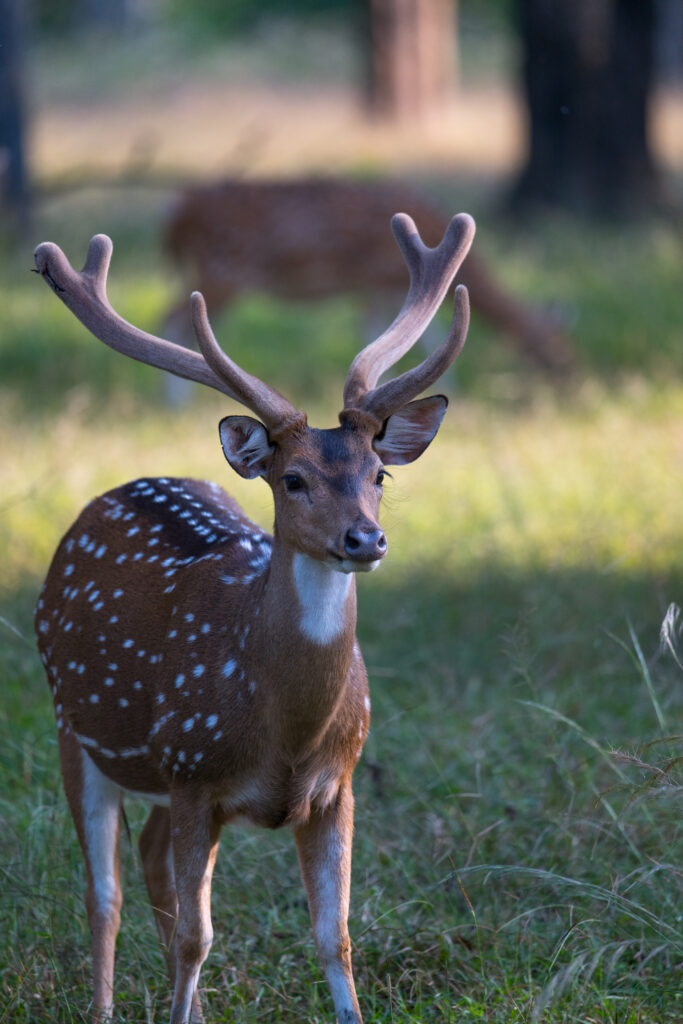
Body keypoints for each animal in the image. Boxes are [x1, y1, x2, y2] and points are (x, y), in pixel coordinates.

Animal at [33, 209, 475, 1024]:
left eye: (379, 474)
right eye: (292, 478)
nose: (365, 539)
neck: (285, 731)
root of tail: (124, 485)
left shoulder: (338, 784)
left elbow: (335, 936)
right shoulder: (193, 772)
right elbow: (195, 938)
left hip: (153, 773)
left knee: (148, 862)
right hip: (75, 728)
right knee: (103, 894)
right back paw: (104, 1008)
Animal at [162, 178, 573, 382]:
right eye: (549, 342)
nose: (573, 374)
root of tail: (178, 217)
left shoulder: (374, 290)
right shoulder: (381, 281)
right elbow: (423, 339)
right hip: (224, 269)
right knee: (172, 320)